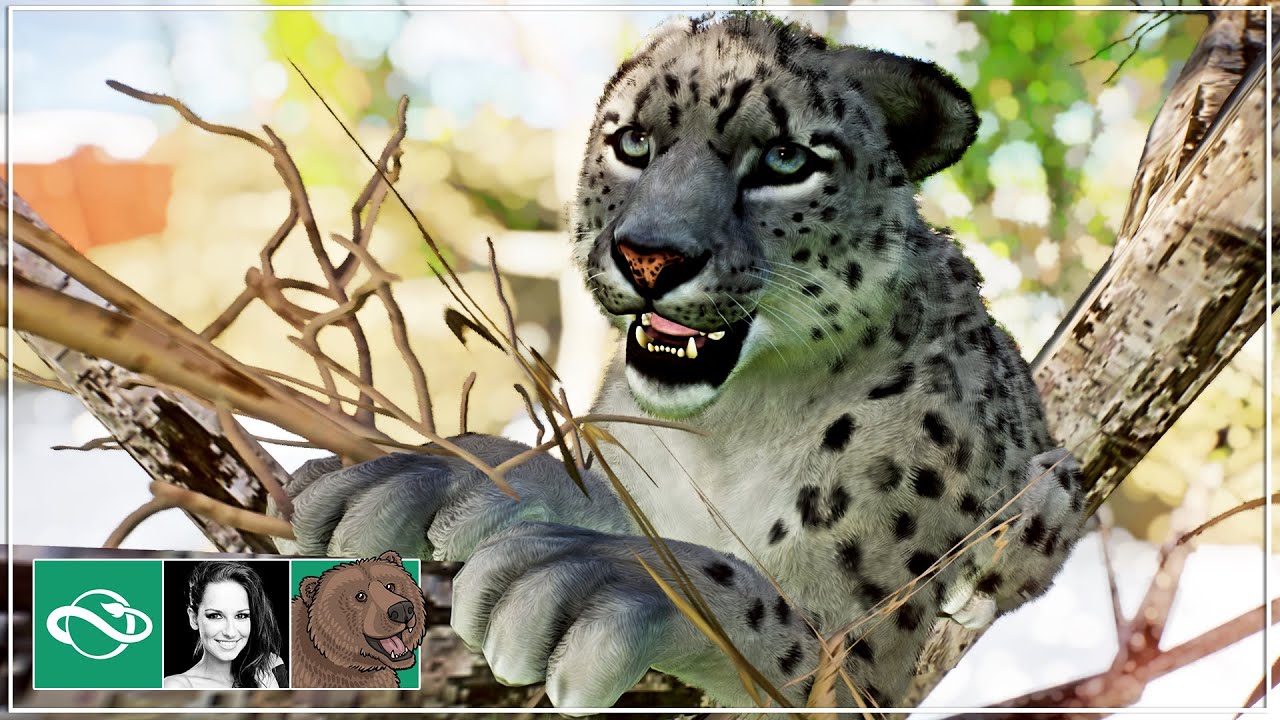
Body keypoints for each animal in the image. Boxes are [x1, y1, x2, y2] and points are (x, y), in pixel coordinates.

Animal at [281, 12, 1088, 712]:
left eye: (787, 158)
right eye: (634, 143)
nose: (650, 256)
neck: (736, 425)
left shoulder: (856, 653)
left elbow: (748, 599)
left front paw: (580, 582)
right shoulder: (634, 474)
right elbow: (572, 478)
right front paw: (412, 478)